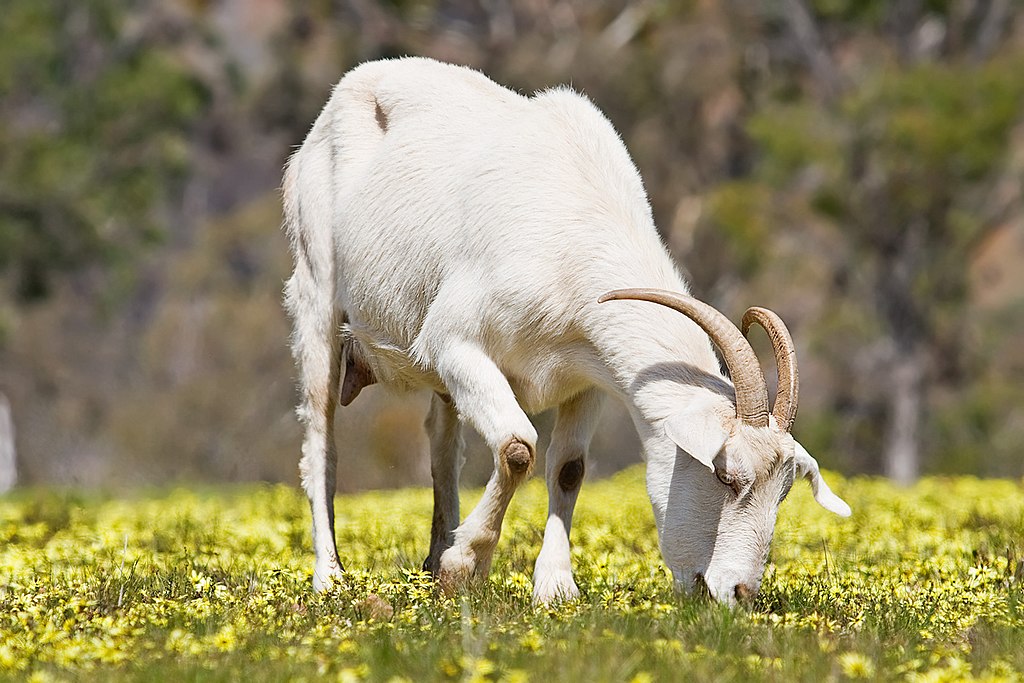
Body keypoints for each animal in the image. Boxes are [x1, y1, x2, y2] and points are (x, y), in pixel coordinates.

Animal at [282, 56, 847, 606]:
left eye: (784, 491)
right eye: (728, 478)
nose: (739, 592)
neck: (573, 238)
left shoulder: (590, 377)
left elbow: (568, 467)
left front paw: (553, 588)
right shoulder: (454, 342)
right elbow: (517, 448)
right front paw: (466, 567)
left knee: (443, 448)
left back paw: (432, 557)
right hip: (317, 293)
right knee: (321, 441)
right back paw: (330, 576)